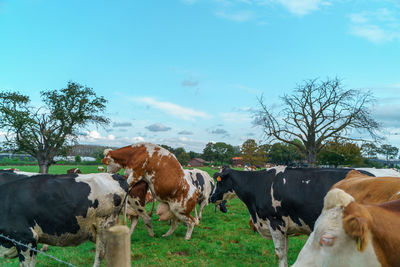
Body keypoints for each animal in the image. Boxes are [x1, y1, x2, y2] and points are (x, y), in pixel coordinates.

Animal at [209, 168, 376, 267]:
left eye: (218, 182)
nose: (211, 197)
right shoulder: (285, 228)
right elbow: (285, 252)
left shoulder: (275, 222)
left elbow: (279, 253)